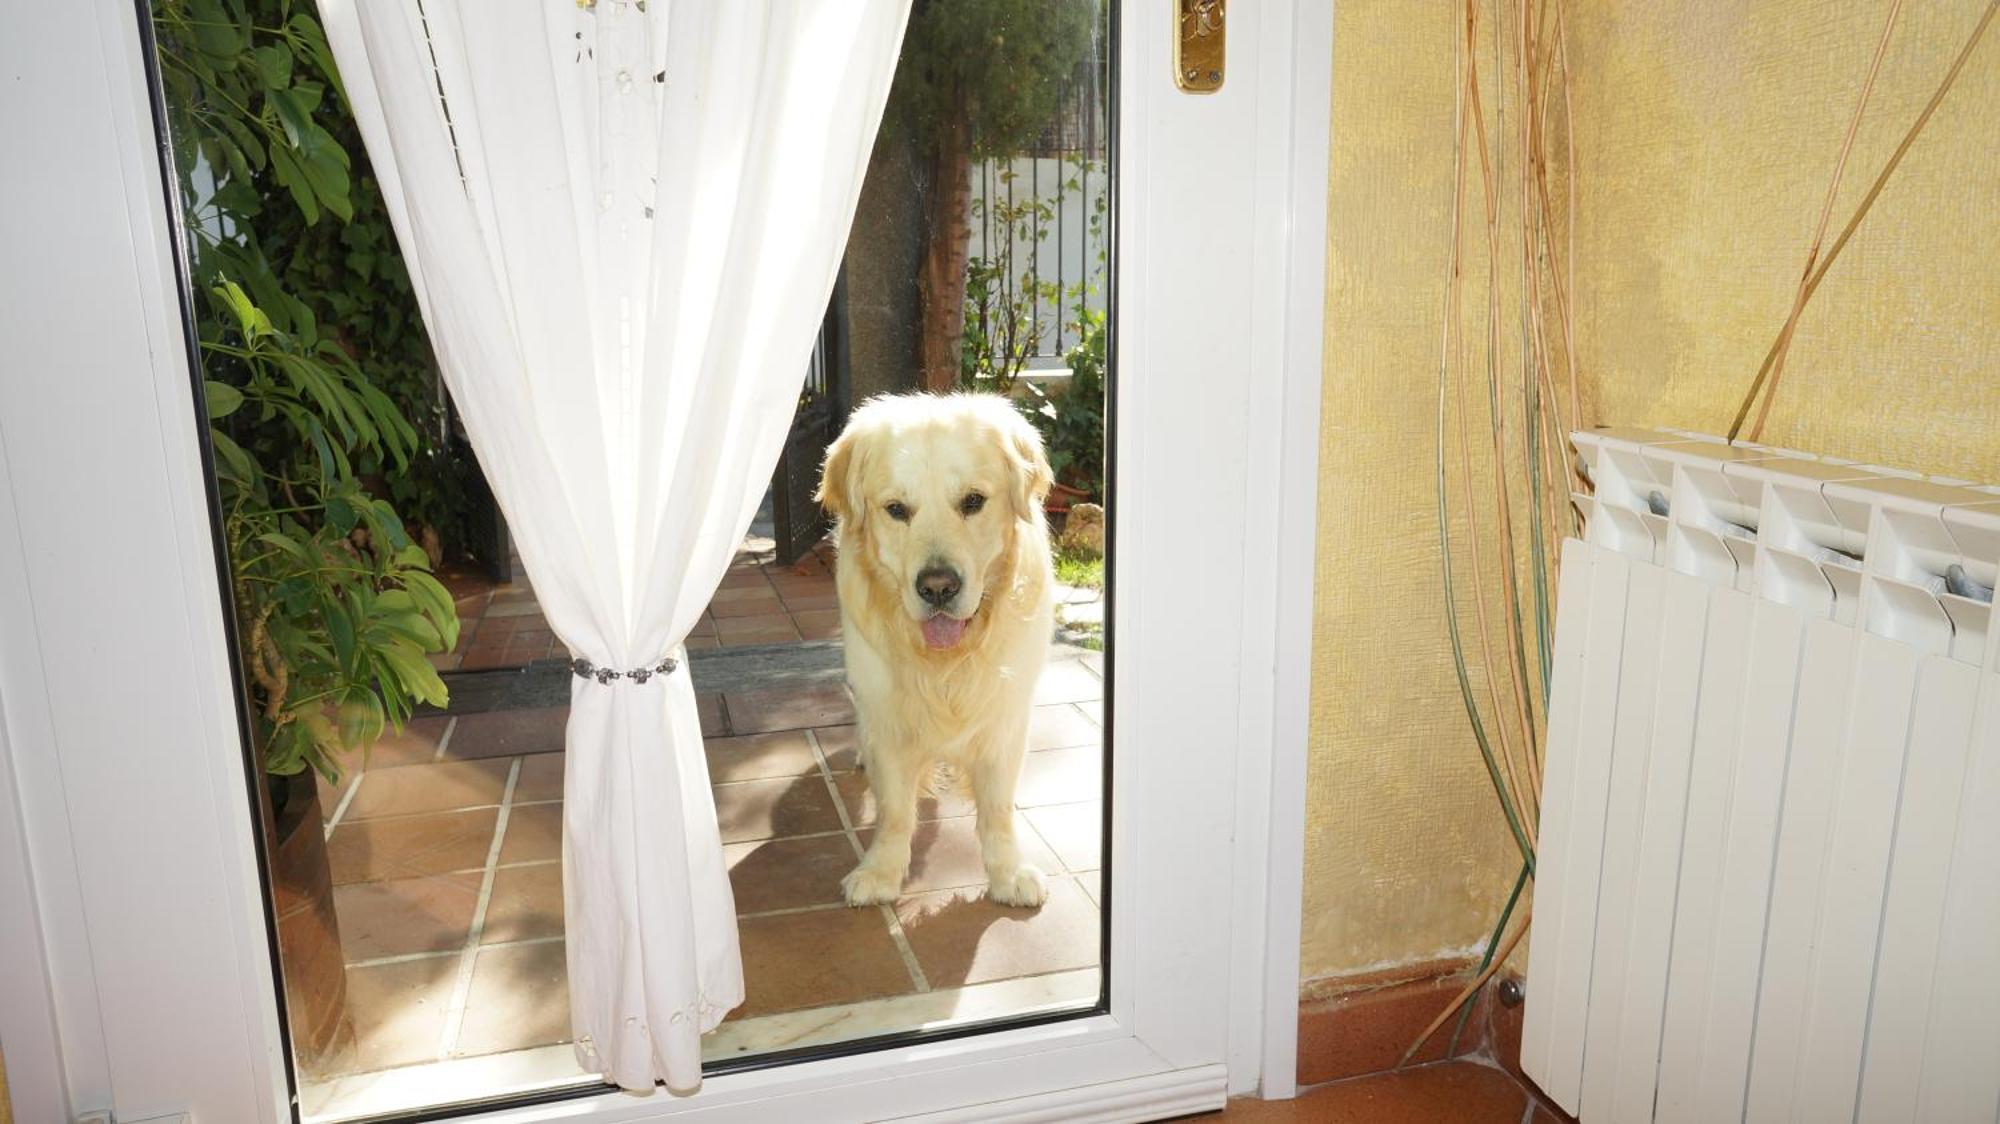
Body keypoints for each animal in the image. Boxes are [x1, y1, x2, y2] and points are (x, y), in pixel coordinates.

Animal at [812, 390, 1064, 904]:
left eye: (973, 501)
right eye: (896, 509)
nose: (938, 588)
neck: (946, 663)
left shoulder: (1006, 718)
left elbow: (998, 807)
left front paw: (1008, 872)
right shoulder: (889, 713)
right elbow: (894, 810)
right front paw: (882, 872)